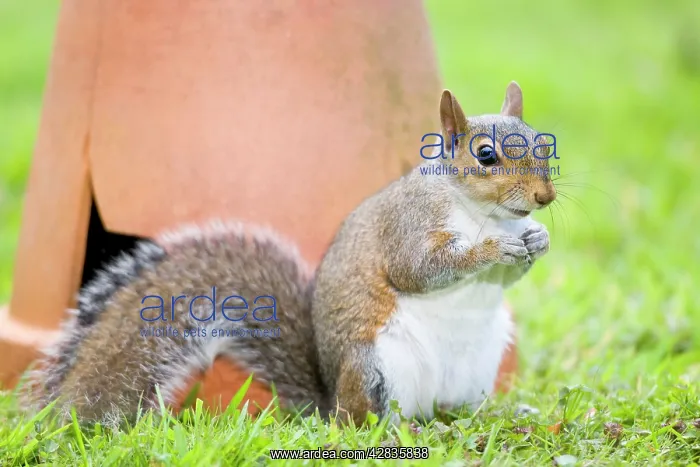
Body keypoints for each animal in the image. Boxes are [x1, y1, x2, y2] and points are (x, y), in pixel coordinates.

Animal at [26, 82, 556, 427]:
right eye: (485, 155)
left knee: (455, 407)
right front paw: (494, 247)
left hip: (481, 364)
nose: (545, 197)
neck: (482, 212)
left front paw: (537, 241)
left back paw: (492, 413)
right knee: (365, 421)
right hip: (378, 366)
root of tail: (330, 399)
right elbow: (420, 269)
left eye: (543, 143)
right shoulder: (409, 225)